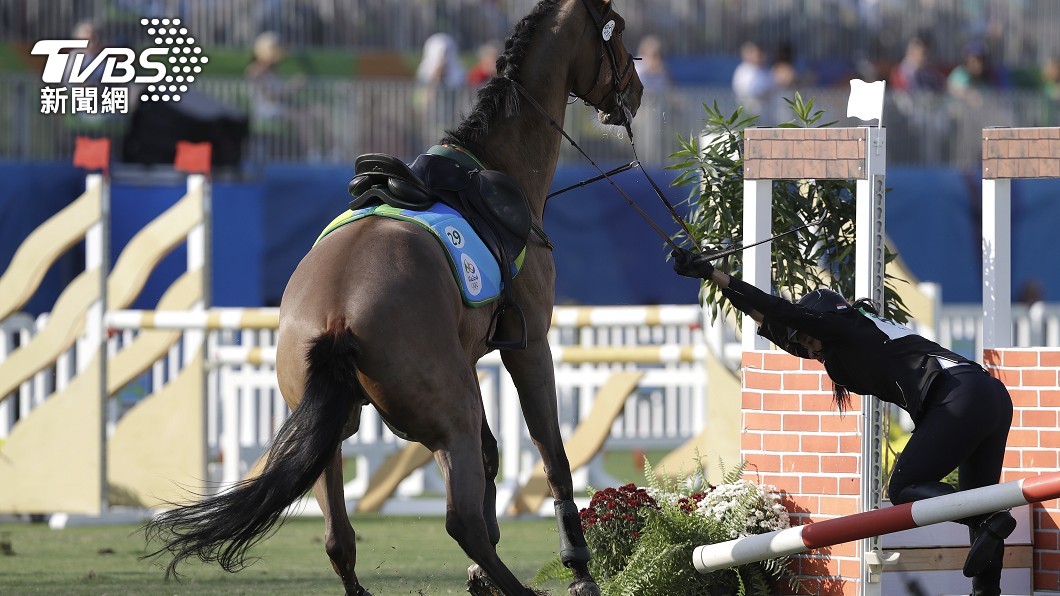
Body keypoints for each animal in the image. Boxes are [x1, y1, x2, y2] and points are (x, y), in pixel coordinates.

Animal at [143, 1, 643, 594]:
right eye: (618, 32)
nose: (636, 90)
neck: (494, 168)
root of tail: (336, 314)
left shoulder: (470, 361)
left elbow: (493, 455)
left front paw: (483, 573)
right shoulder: (529, 347)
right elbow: (553, 458)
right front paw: (578, 568)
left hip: (335, 434)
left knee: (340, 538)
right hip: (445, 417)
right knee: (459, 520)